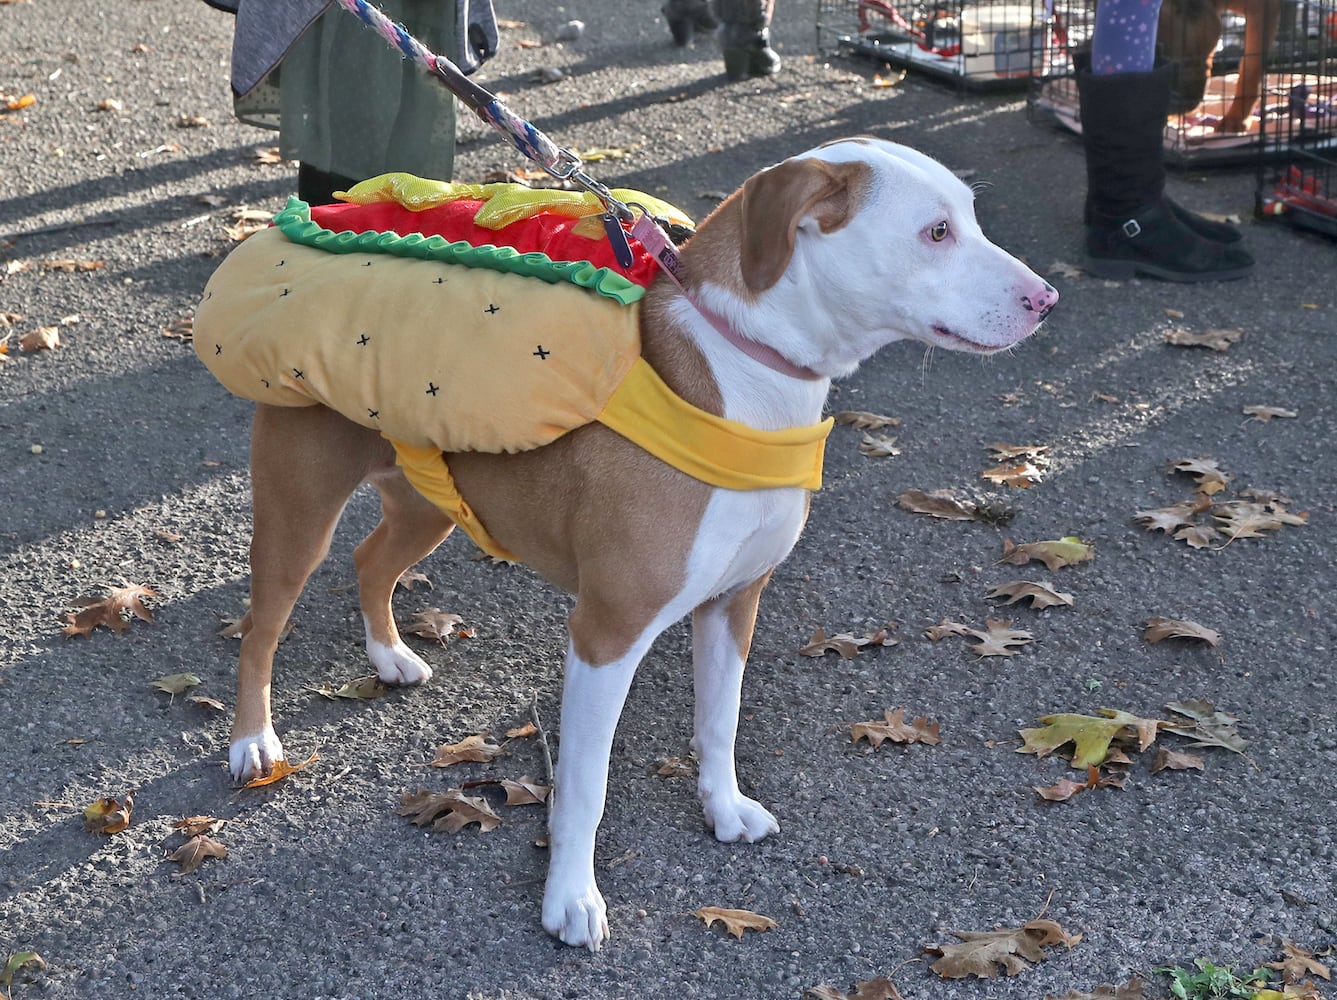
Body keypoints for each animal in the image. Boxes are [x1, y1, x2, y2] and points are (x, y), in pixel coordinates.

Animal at [203, 137, 1053, 951]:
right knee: (263, 629)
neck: (742, 375)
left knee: (370, 561)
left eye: (968, 218)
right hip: (298, 507)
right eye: (935, 233)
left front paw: (722, 809)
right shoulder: (605, 634)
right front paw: (570, 899)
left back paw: (388, 656)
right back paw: (254, 742)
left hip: (425, 499)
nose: (1044, 300)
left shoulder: (732, 603)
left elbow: (719, 722)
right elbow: (587, 785)